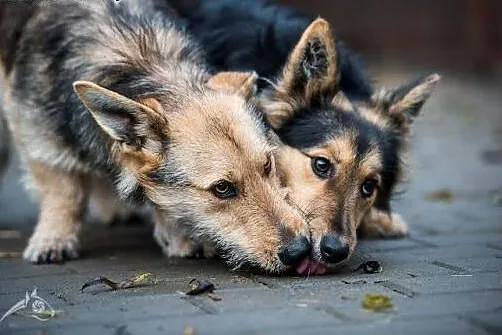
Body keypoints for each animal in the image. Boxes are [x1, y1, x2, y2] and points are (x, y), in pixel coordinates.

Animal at [0, 0, 310, 274]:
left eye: (268, 166)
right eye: (222, 188)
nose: (300, 250)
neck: (139, 63)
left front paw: (179, 234)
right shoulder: (34, 131)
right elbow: (66, 192)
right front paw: (54, 238)